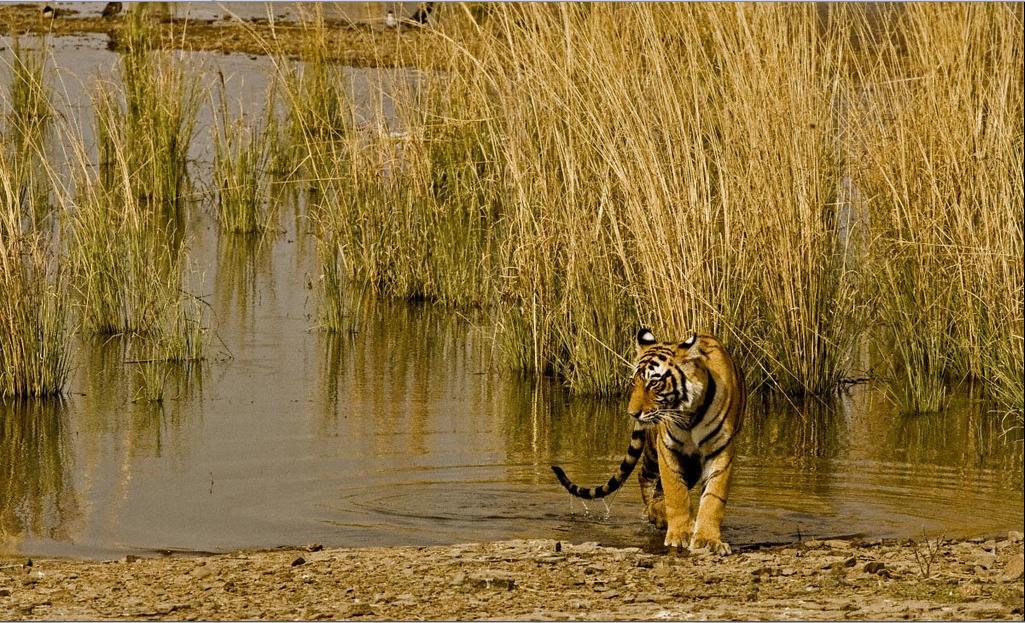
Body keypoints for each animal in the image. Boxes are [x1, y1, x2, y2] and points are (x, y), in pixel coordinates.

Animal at [551, 328, 746, 555]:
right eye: (633, 382)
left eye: (654, 382)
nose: (632, 413)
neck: (689, 414)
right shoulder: (668, 446)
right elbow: (675, 491)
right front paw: (680, 534)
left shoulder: (721, 449)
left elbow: (714, 498)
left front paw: (708, 540)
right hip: (655, 449)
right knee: (645, 477)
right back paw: (655, 512)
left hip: (690, 465)